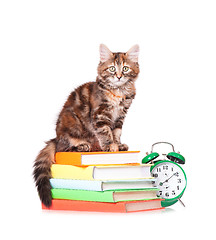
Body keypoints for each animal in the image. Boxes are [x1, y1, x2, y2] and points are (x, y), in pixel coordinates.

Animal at [33, 44, 139, 206]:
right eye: (112, 69)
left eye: (125, 68)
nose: (119, 76)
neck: (118, 92)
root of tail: (56, 137)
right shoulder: (99, 115)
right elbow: (105, 132)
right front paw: (110, 146)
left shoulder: (120, 117)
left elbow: (116, 132)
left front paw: (118, 145)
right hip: (71, 126)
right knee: (62, 149)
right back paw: (82, 146)